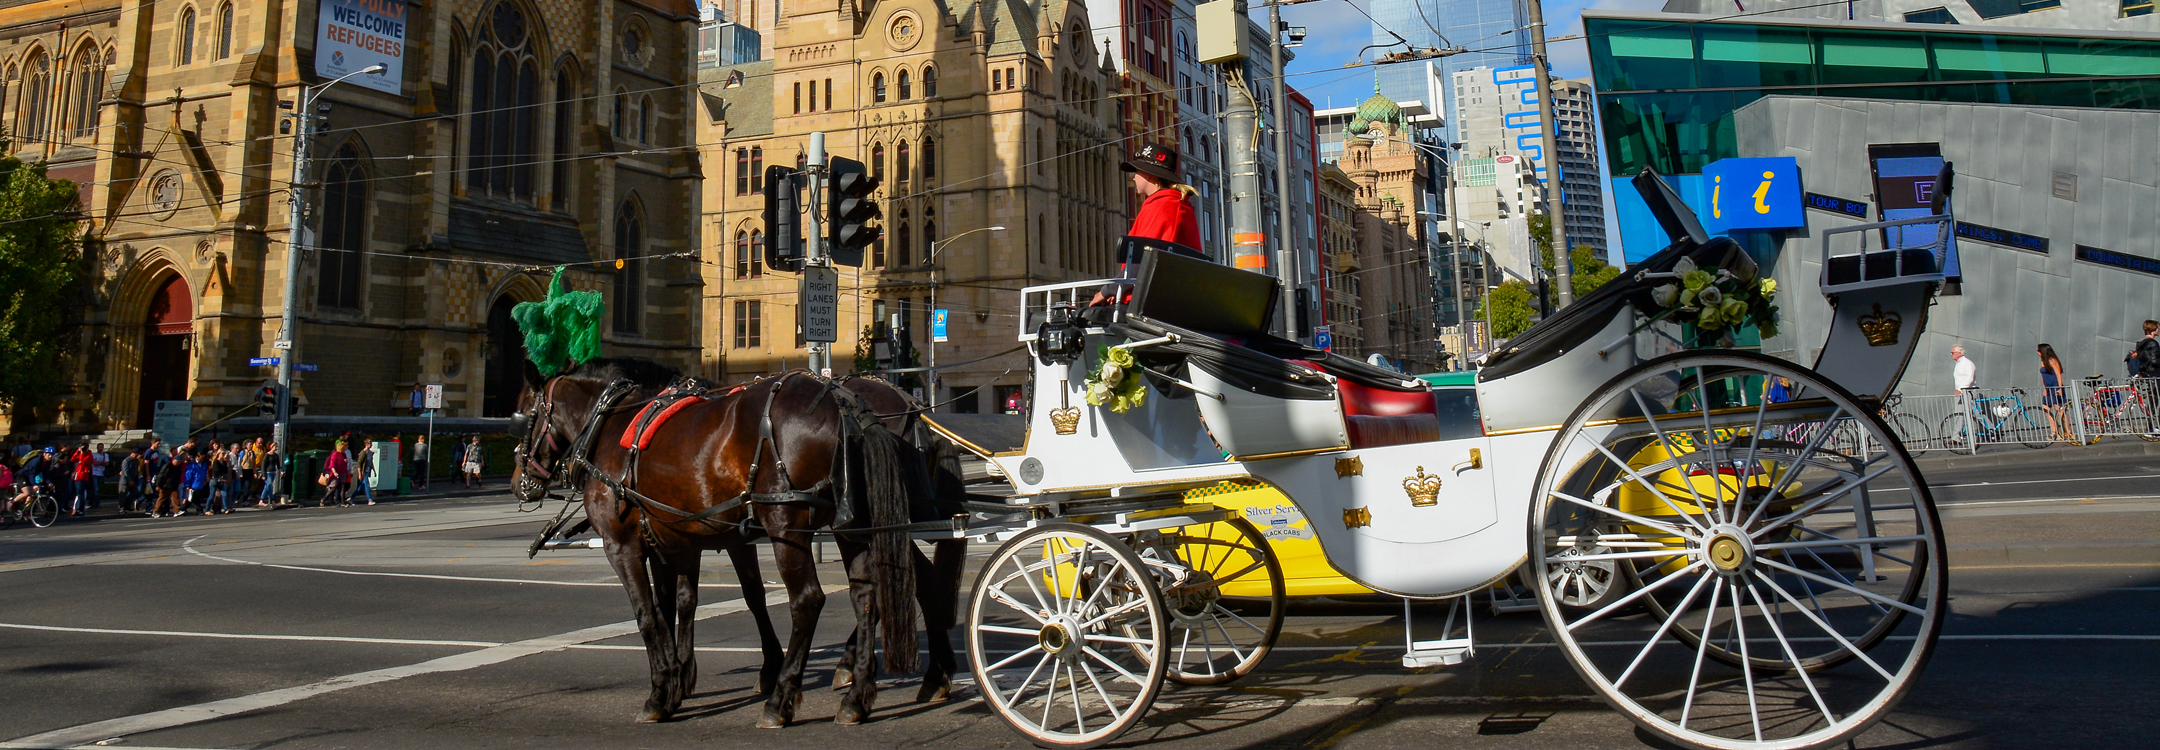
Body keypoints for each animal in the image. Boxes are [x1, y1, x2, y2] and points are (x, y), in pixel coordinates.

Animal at [509, 359, 960, 727]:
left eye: (521, 415)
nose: (519, 483)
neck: (610, 424)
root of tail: (855, 406)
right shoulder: (679, 539)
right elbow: (689, 602)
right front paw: (680, 677)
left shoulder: (624, 547)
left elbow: (650, 614)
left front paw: (662, 690)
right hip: (856, 525)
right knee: (873, 592)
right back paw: (864, 695)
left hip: (788, 525)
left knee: (810, 600)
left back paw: (784, 700)